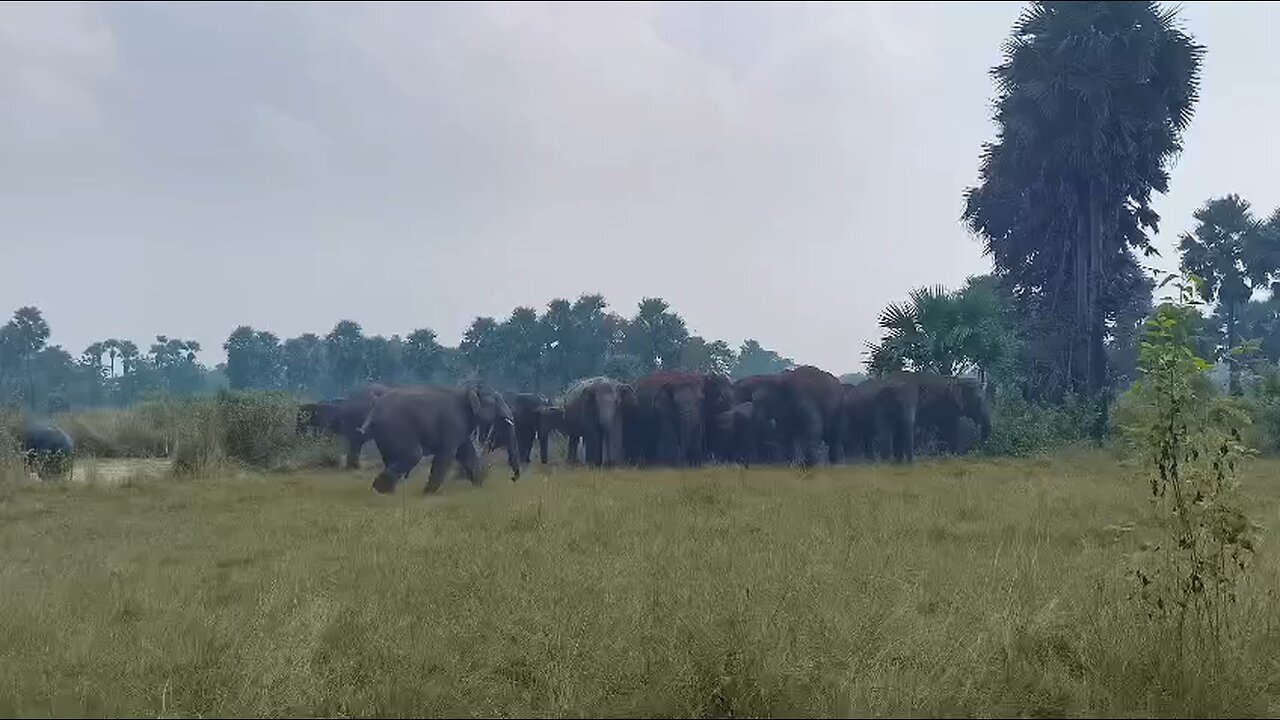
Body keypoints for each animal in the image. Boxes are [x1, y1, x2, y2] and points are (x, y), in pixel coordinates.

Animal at [359, 383, 520, 494]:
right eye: (498, 403)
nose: (513, 479)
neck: (468, 391)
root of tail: (373, 411)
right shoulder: (453, 423)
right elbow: (446, 454)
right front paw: (427, 494)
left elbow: (466, 453)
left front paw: (479, 487)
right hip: (397, 427)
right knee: (414, 454)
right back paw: (380, 489)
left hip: (385, 433)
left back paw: (387, 492)